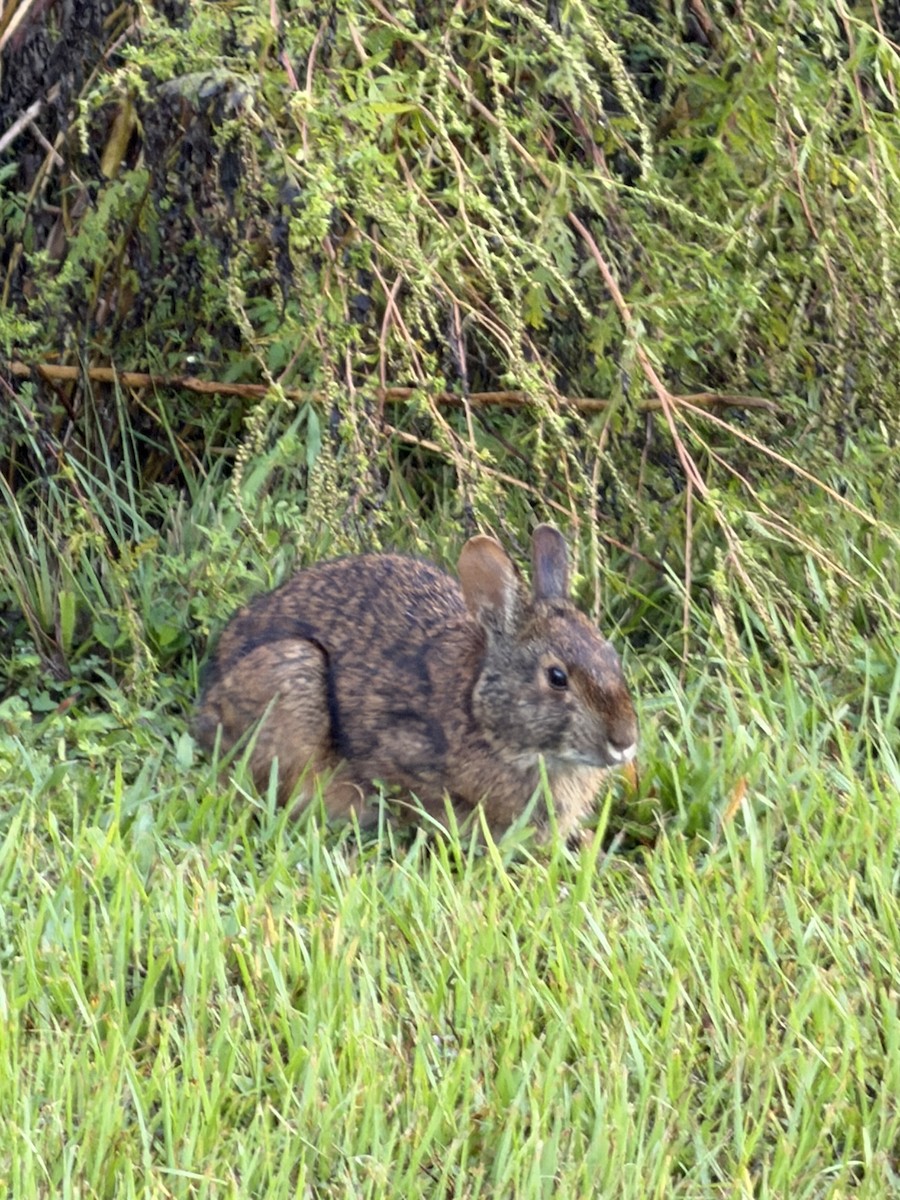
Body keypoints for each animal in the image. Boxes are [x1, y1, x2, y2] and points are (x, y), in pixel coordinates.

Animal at [193, 524, 638, 840]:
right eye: (557, 677)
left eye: (611, 655)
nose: (625, 741)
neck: (483, 719)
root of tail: (209, 700)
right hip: (294, 673)